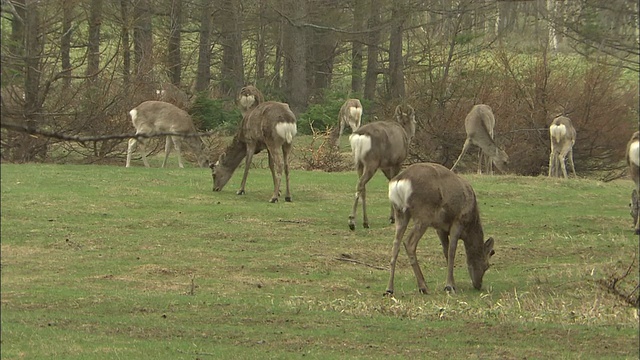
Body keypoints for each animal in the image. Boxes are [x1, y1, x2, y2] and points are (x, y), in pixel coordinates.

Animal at [348, 103, 418, 231]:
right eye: (413, 119)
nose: (413, 132)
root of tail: (359, 137)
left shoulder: (385, 165)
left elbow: (390, 182)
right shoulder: (397, 162)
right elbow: (393, 183)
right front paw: (393, 217)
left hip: (358, 162)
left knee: (362, 186)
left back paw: (365, 222)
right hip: (372, 162)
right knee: (360, 184)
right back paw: (352, 221)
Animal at [384, 163, 496, 296]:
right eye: (487, 265)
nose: (478, 285)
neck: (470, 226)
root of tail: (399, 181)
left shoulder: (440, 228)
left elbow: (445, 251)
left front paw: (452, 284)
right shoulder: (458, 221)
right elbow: (451, 252)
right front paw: (449, 286)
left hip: (400, 213)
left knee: (395, 245)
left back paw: (389, 289)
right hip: (423, 214)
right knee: (409, 242)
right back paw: (423, 287)